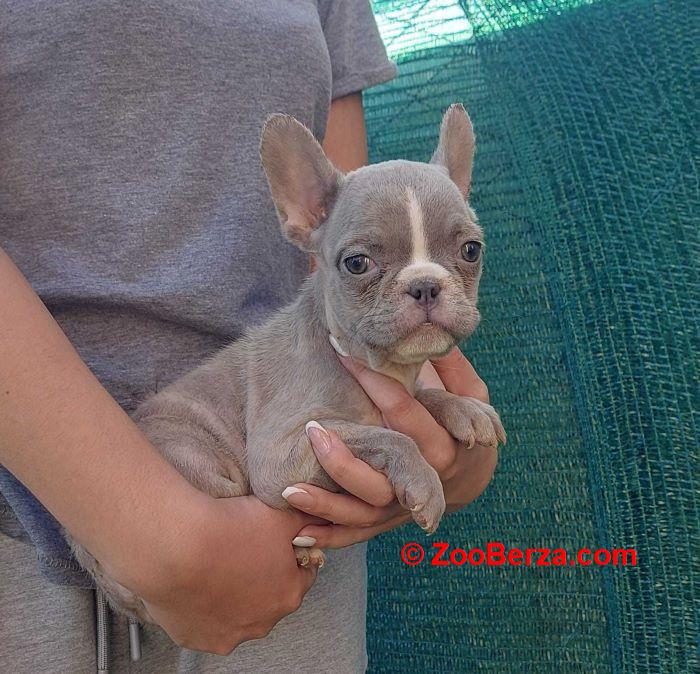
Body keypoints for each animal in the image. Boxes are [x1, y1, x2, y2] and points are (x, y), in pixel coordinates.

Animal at [69, 102, 504, 616]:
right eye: (356, 264)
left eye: (471, 250)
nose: (425, 284)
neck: (375, 364)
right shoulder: (284, 452)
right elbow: (386, 435)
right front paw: (422, 480)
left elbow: (421, 398)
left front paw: (465, 408)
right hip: (191, 455)